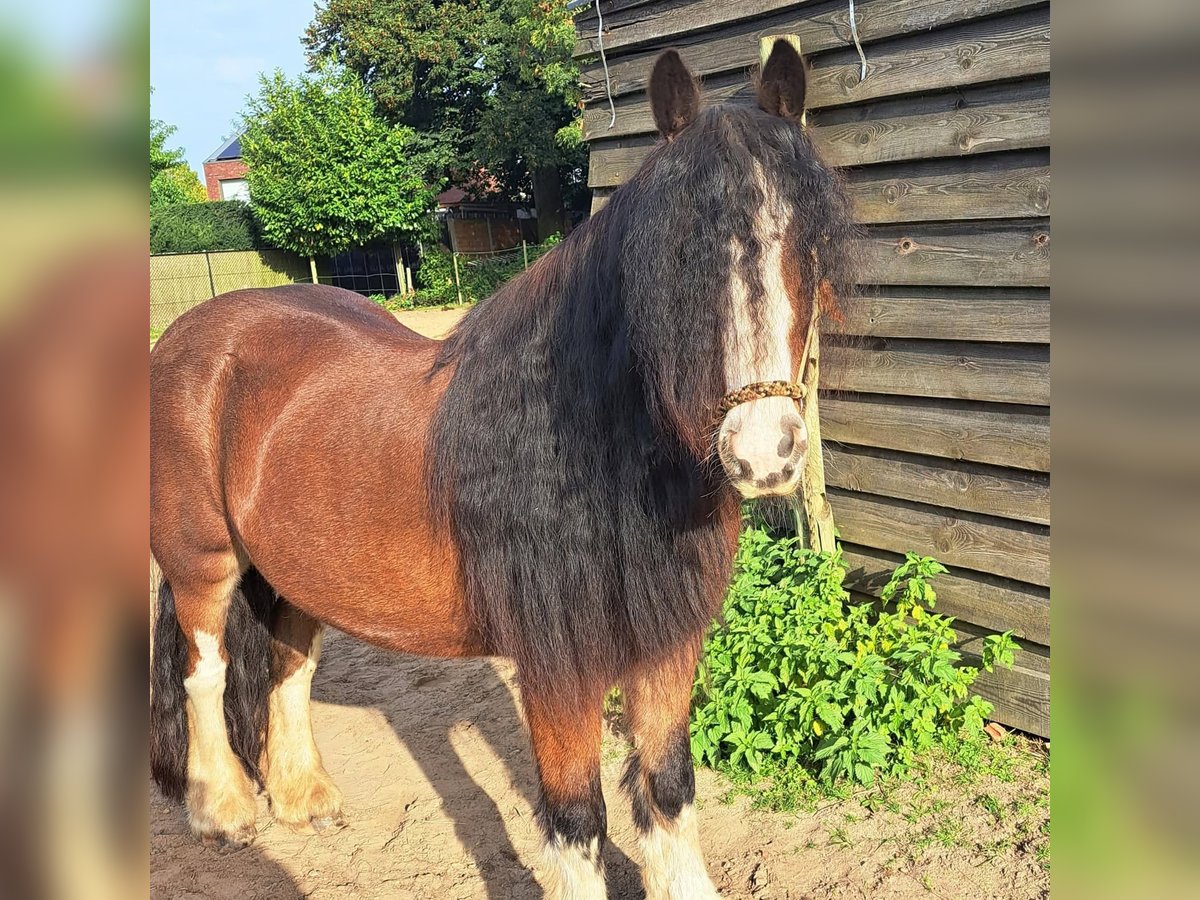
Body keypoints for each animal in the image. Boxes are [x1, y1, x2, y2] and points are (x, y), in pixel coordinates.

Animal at [149, 44, 856, 899]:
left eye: (805, 247)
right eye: (676, 258)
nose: (763, 454)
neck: (589, 450)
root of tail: (192, 332)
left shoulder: (665, 645)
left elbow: (668, 790)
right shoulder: (555, 670)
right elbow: (577, 820)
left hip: (292, 571)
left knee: (288, 667)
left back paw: (303, 799)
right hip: (203, 564)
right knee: (206, 673)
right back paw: (221, 811)